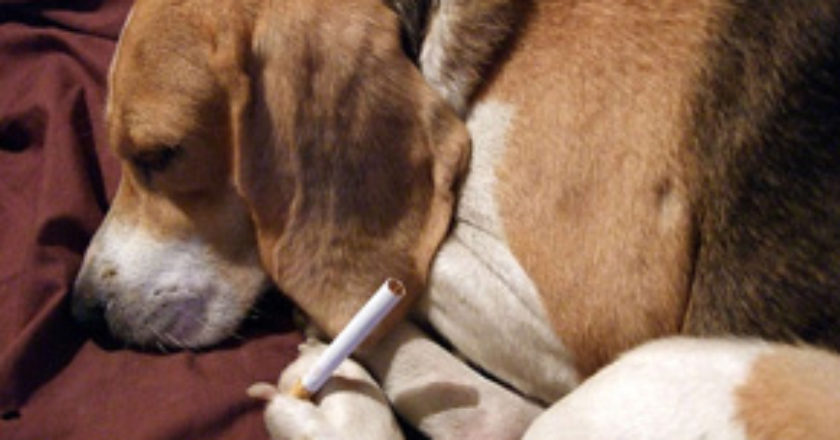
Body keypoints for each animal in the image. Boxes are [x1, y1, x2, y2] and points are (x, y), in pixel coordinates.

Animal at [73, 0, 840, 438]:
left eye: (161, 155)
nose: (82, 312)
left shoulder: (595, 308)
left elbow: (384, 266)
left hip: (679, 369)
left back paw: (331, 406)